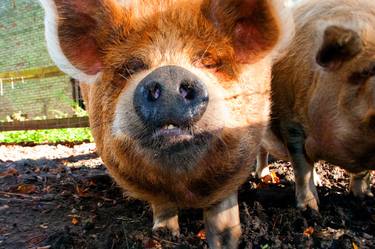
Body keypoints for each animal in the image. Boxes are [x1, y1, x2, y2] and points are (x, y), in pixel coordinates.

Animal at [39, 0, 296, 247]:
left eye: (208, 61)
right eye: (132, 67)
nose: (169, 73)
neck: (185, 188)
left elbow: (222, 213)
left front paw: (227, 239)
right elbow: (163, 207)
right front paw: (164, 234)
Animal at [258, 0, 375, 211]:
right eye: (367, 71)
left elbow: (363, 173)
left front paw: (363, 197)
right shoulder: (290, 120)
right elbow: (301, 167)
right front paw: (310, 209)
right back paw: (262, 177)